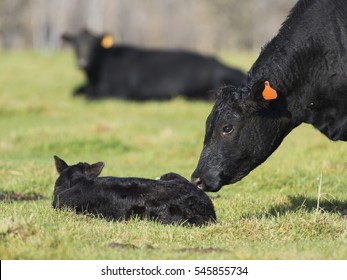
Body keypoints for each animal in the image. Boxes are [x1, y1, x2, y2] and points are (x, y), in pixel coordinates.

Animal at [62, 29, 246, 100]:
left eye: (94, 45)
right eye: (76, 44)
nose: (82, 63)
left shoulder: (122, 92)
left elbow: (91, 97)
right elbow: (75, 92)